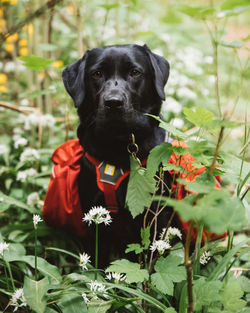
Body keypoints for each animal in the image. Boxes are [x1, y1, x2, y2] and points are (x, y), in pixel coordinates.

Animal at [61, 44, 170, 264]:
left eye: (135, 72)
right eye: (97, 74)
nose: (113, 102)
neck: (118, 147)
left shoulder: (156, 215)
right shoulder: (93, 213)